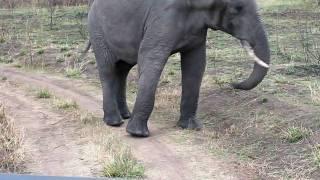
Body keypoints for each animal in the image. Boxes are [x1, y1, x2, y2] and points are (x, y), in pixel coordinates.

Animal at [87, 0, 270, 136]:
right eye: (237, 8)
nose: (233, 83)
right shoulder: (163, 16)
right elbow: (151, 57)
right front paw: (137, 134)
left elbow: (196, 64)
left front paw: (192, 127)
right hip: (97, 31)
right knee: (108, 70)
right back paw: (114, 122)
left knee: (122, 70)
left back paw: (125, 115)